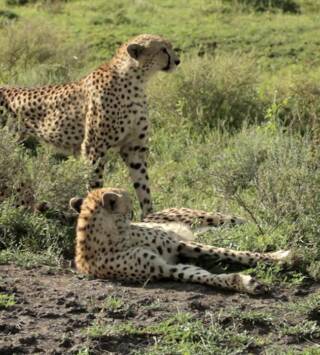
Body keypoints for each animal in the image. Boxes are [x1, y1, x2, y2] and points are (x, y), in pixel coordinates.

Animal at [0, 34, 180, 217]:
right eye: (163, 49)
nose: (177, 61)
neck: (136, 79)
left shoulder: (134, 149)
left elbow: (143, 187)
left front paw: (150, 216)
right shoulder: (94, 147)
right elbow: (95, 183)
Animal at [70, 189, 292, 294]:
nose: (134, 211)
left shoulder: (178, 244)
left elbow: (230, 252)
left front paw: (279, 257)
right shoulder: (164, 267)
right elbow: (202, 275)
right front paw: (245, 283)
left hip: (216, 219)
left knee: (249, 223)